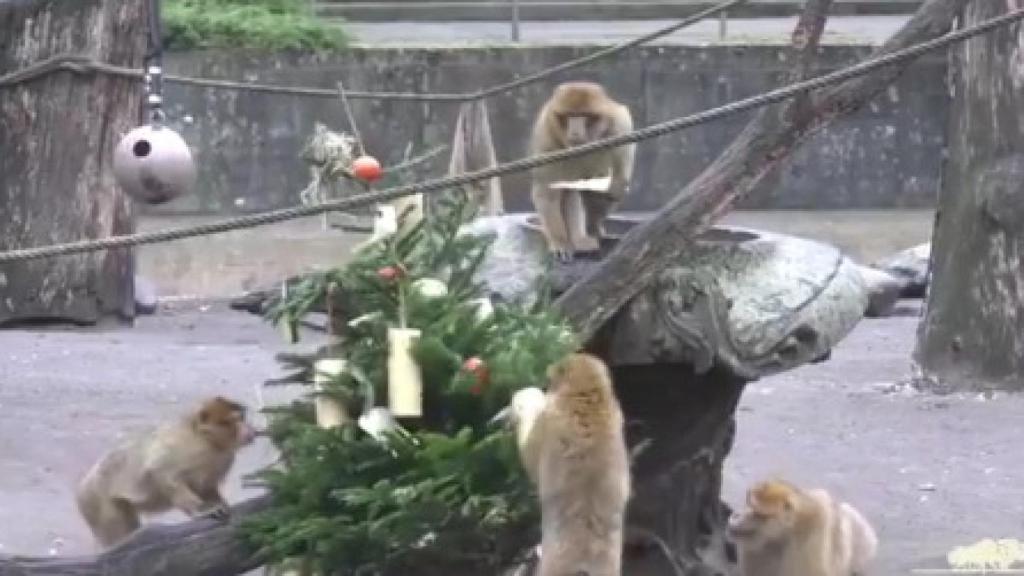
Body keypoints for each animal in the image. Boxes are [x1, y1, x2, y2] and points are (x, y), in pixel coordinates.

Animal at [75, 396, 257, 549]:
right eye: (231, 421)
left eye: (242, 418)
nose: (250, 431)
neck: (207, 441)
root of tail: (84, 485)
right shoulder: (183, 447)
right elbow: (161, 472)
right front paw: (203, 510)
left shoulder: (221, 459)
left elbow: (206, 486)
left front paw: (218, 503)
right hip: (96, 500)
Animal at [529, 81, 636, 262]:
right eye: (569, 115)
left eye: (585, 115)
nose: (575, 132)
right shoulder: (548, 136)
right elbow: (548, 191)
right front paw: (560, 242)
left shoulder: (620, 127)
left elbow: (616, 183)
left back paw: (589, 233)